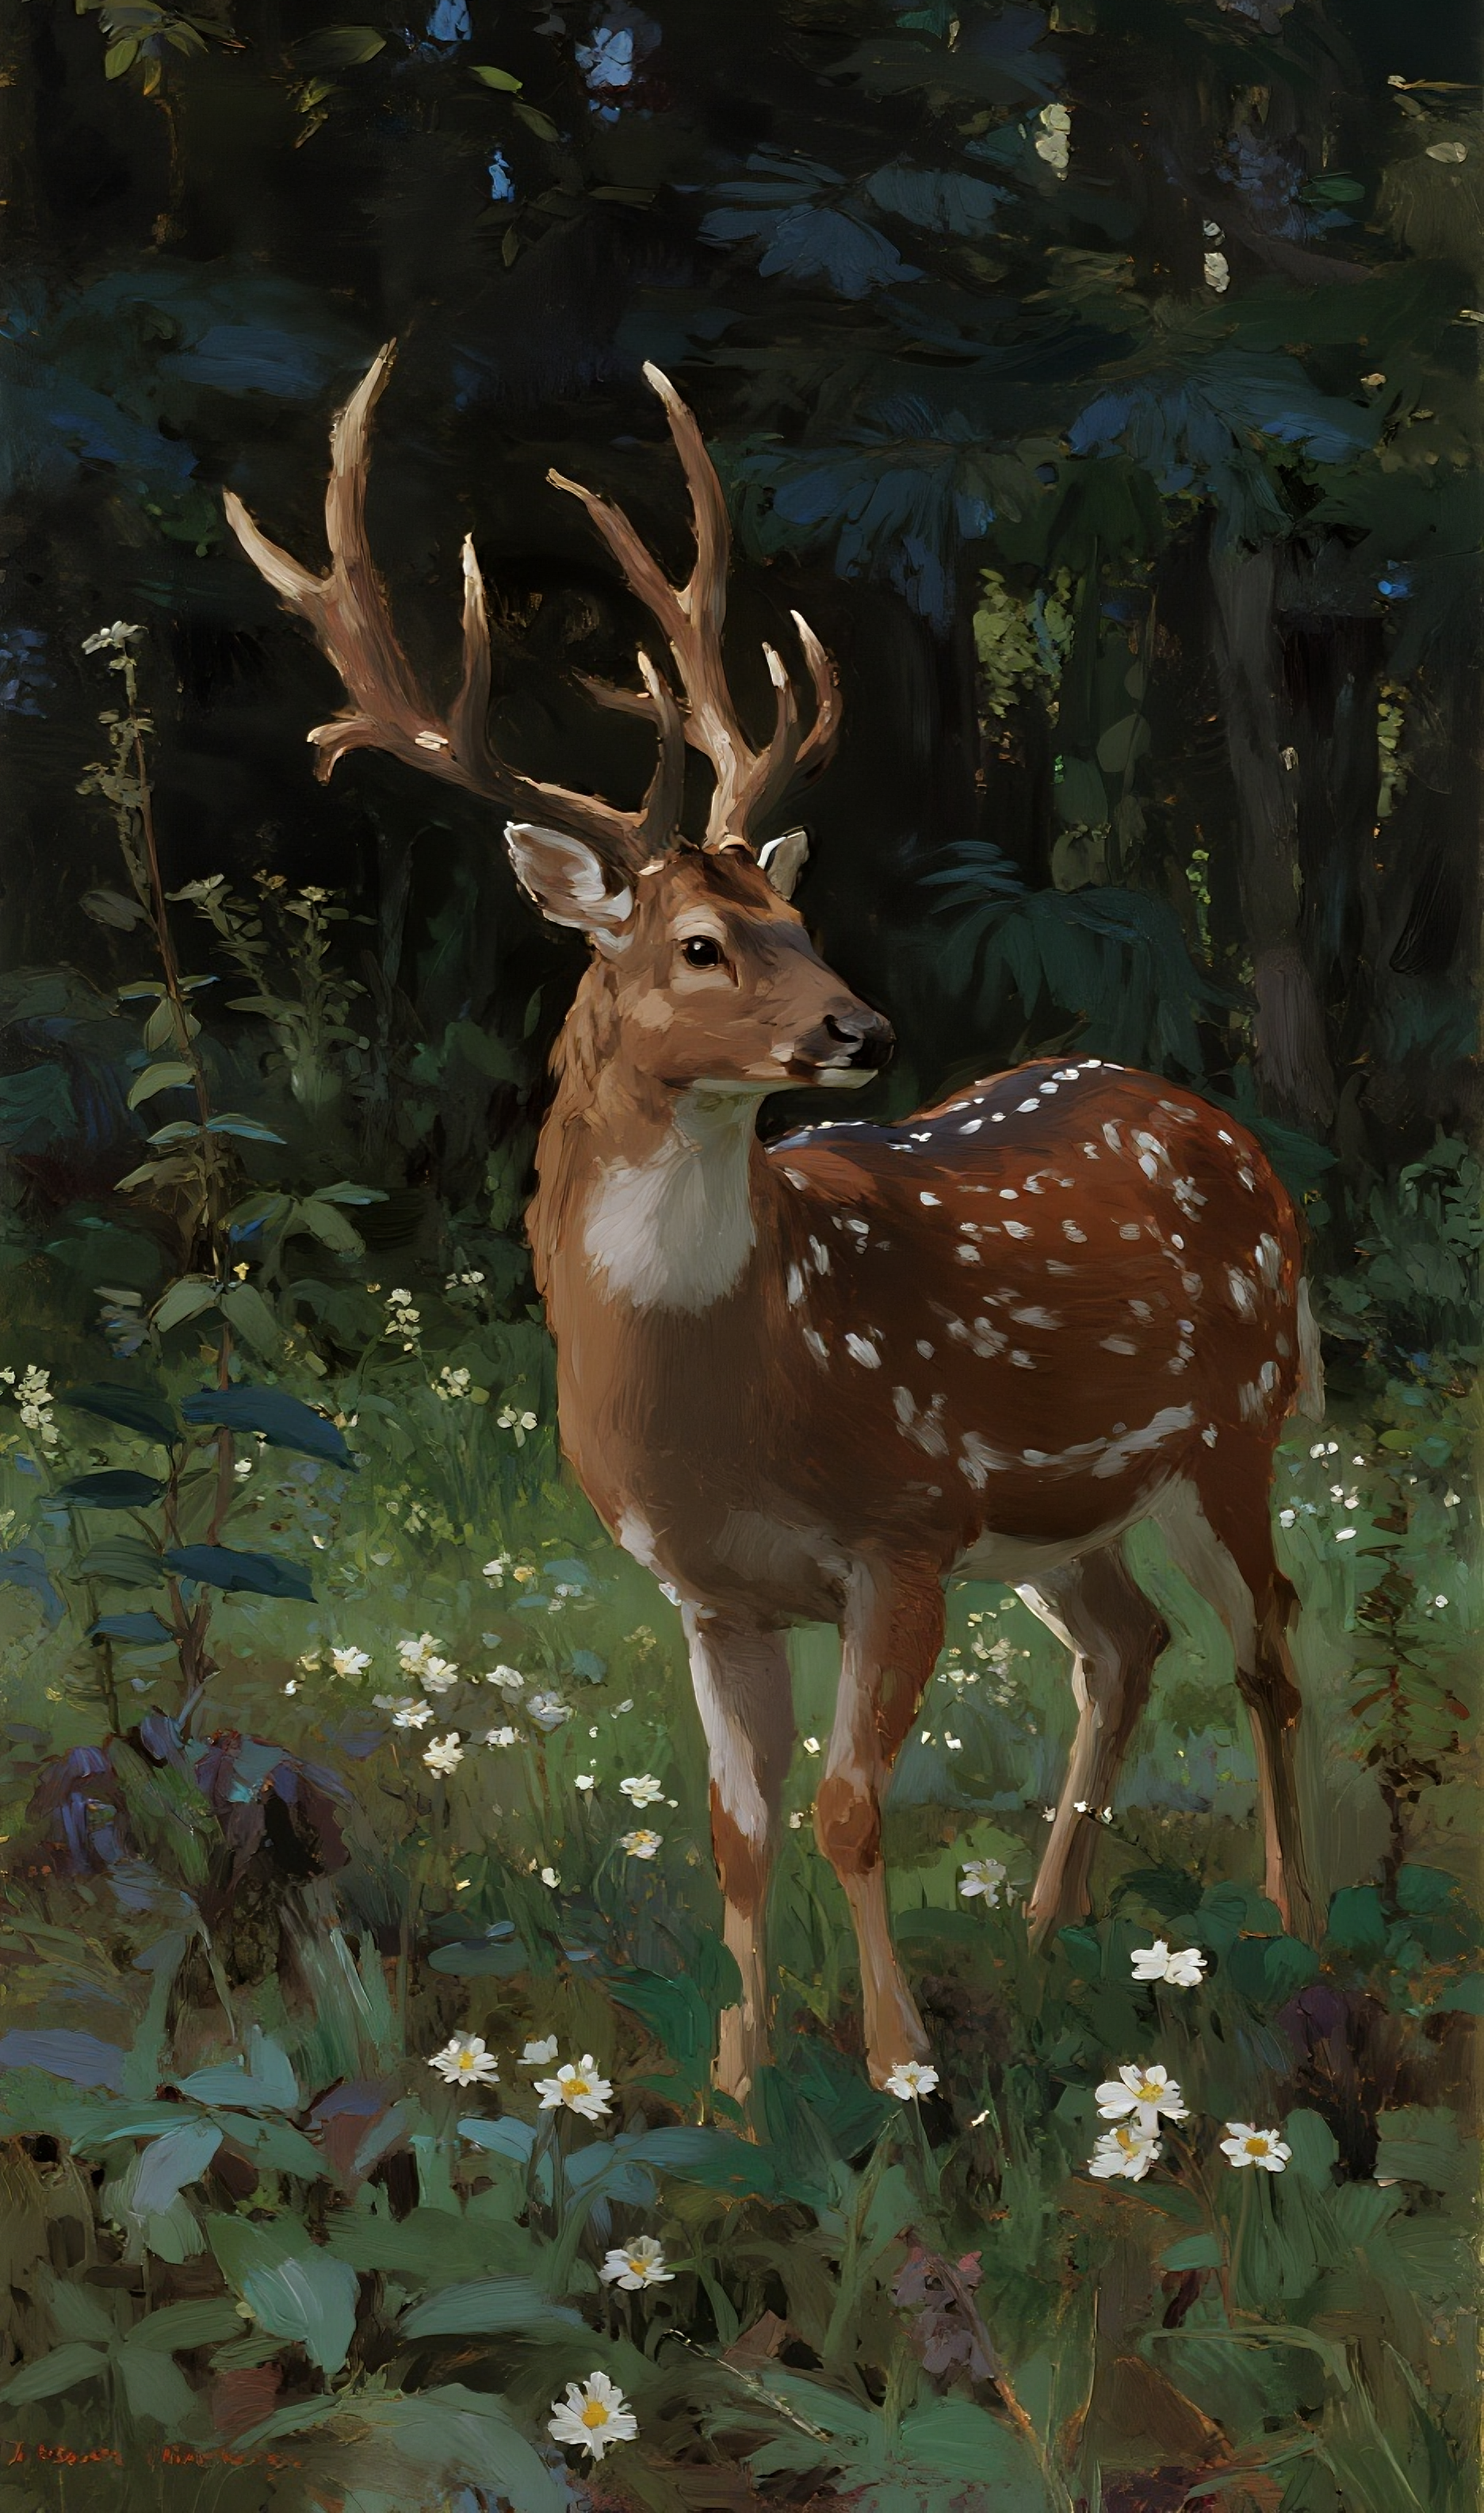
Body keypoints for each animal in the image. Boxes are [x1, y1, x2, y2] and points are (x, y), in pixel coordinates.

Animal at [226, 345, 1324, 2097]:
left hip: (1233, 1424)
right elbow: (737, 1835)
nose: (860, 1030)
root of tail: (1222, 1128)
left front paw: (898, 2071)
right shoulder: (711, 1589)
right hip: (1062, 1508)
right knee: (1125, 1644)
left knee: (1269, 1646)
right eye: (697, 943)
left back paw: (1299, 1928)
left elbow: (850, 1806)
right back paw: (1046, 1929)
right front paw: (740, 2092)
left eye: (798, 915)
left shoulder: (902, 1532)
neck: (742, 1383)